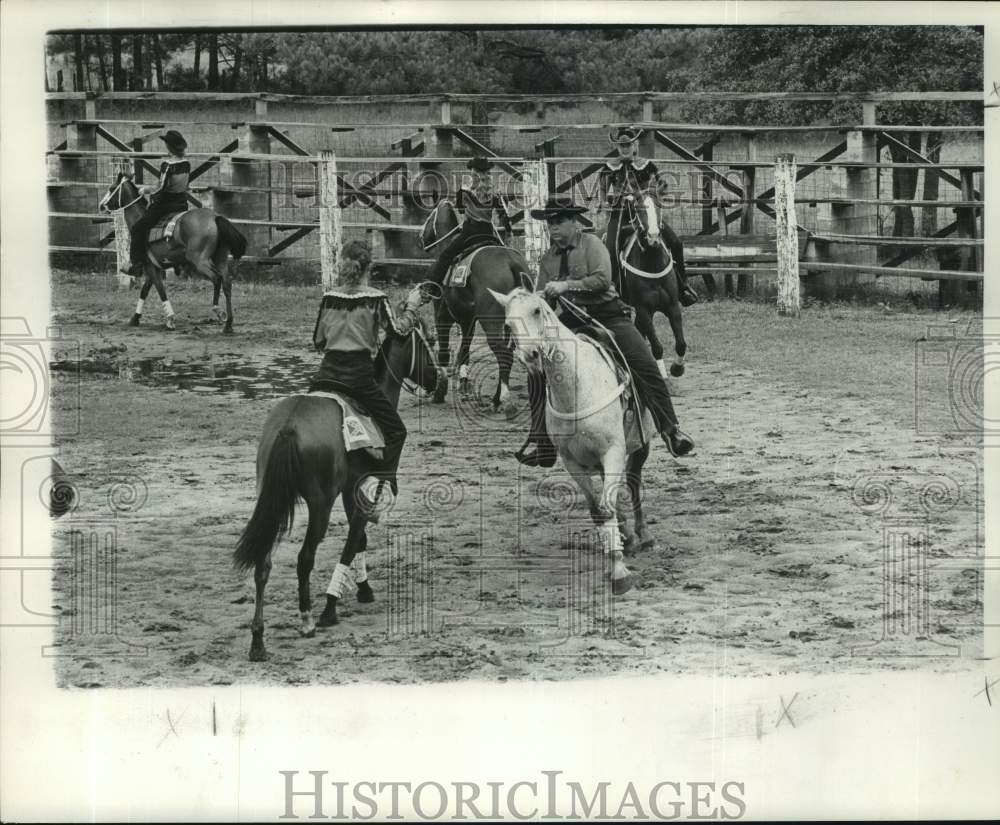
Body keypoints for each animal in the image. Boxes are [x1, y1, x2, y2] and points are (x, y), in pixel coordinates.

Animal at [98, 172, 247, 334]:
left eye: (111, 188)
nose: (101, 205)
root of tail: (215, 217)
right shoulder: (153, 268)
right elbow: (144, 291)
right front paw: (135, 318)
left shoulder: (150, 268)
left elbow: (161, 291)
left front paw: (170, 319)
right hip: (220, 258)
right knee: (226, 282)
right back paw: (228, 324)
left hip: (200, 260)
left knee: (217, 278)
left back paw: (218, 310)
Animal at [234, 312, 446, 660]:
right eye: (428, 344)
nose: (440, 379)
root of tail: (289, 426)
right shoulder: (360, 492)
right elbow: (354, 541)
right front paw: (332, 606)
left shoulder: (349, 492)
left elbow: (358, 542)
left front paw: (362, 588)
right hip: (320, 503)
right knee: (305, 558)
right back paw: (307, 619)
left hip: (270, 499)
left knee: (263, 563)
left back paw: (258, 640)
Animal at [418, 200, 536, 412]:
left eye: (429, 217)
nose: (421, 237)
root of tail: (512, 263)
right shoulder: (468, 322)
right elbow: (464, 351)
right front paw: (463, 386)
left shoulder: (442, 317)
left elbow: (443, 353)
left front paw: (440, 392)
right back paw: (496, 399)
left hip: (491, 323)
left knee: (504, 355)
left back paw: (502, 400)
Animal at [484, 286, 656, 596]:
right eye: (508, 325)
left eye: (537, 310)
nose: (532, 355)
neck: (576, 388)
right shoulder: (572, 461)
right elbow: (598, 510)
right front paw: (616, 559)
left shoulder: (613, 450)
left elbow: (608, 506)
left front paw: (619, 572)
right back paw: (627, 533)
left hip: (640, 444)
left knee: (633, 482)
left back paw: (643, 533)